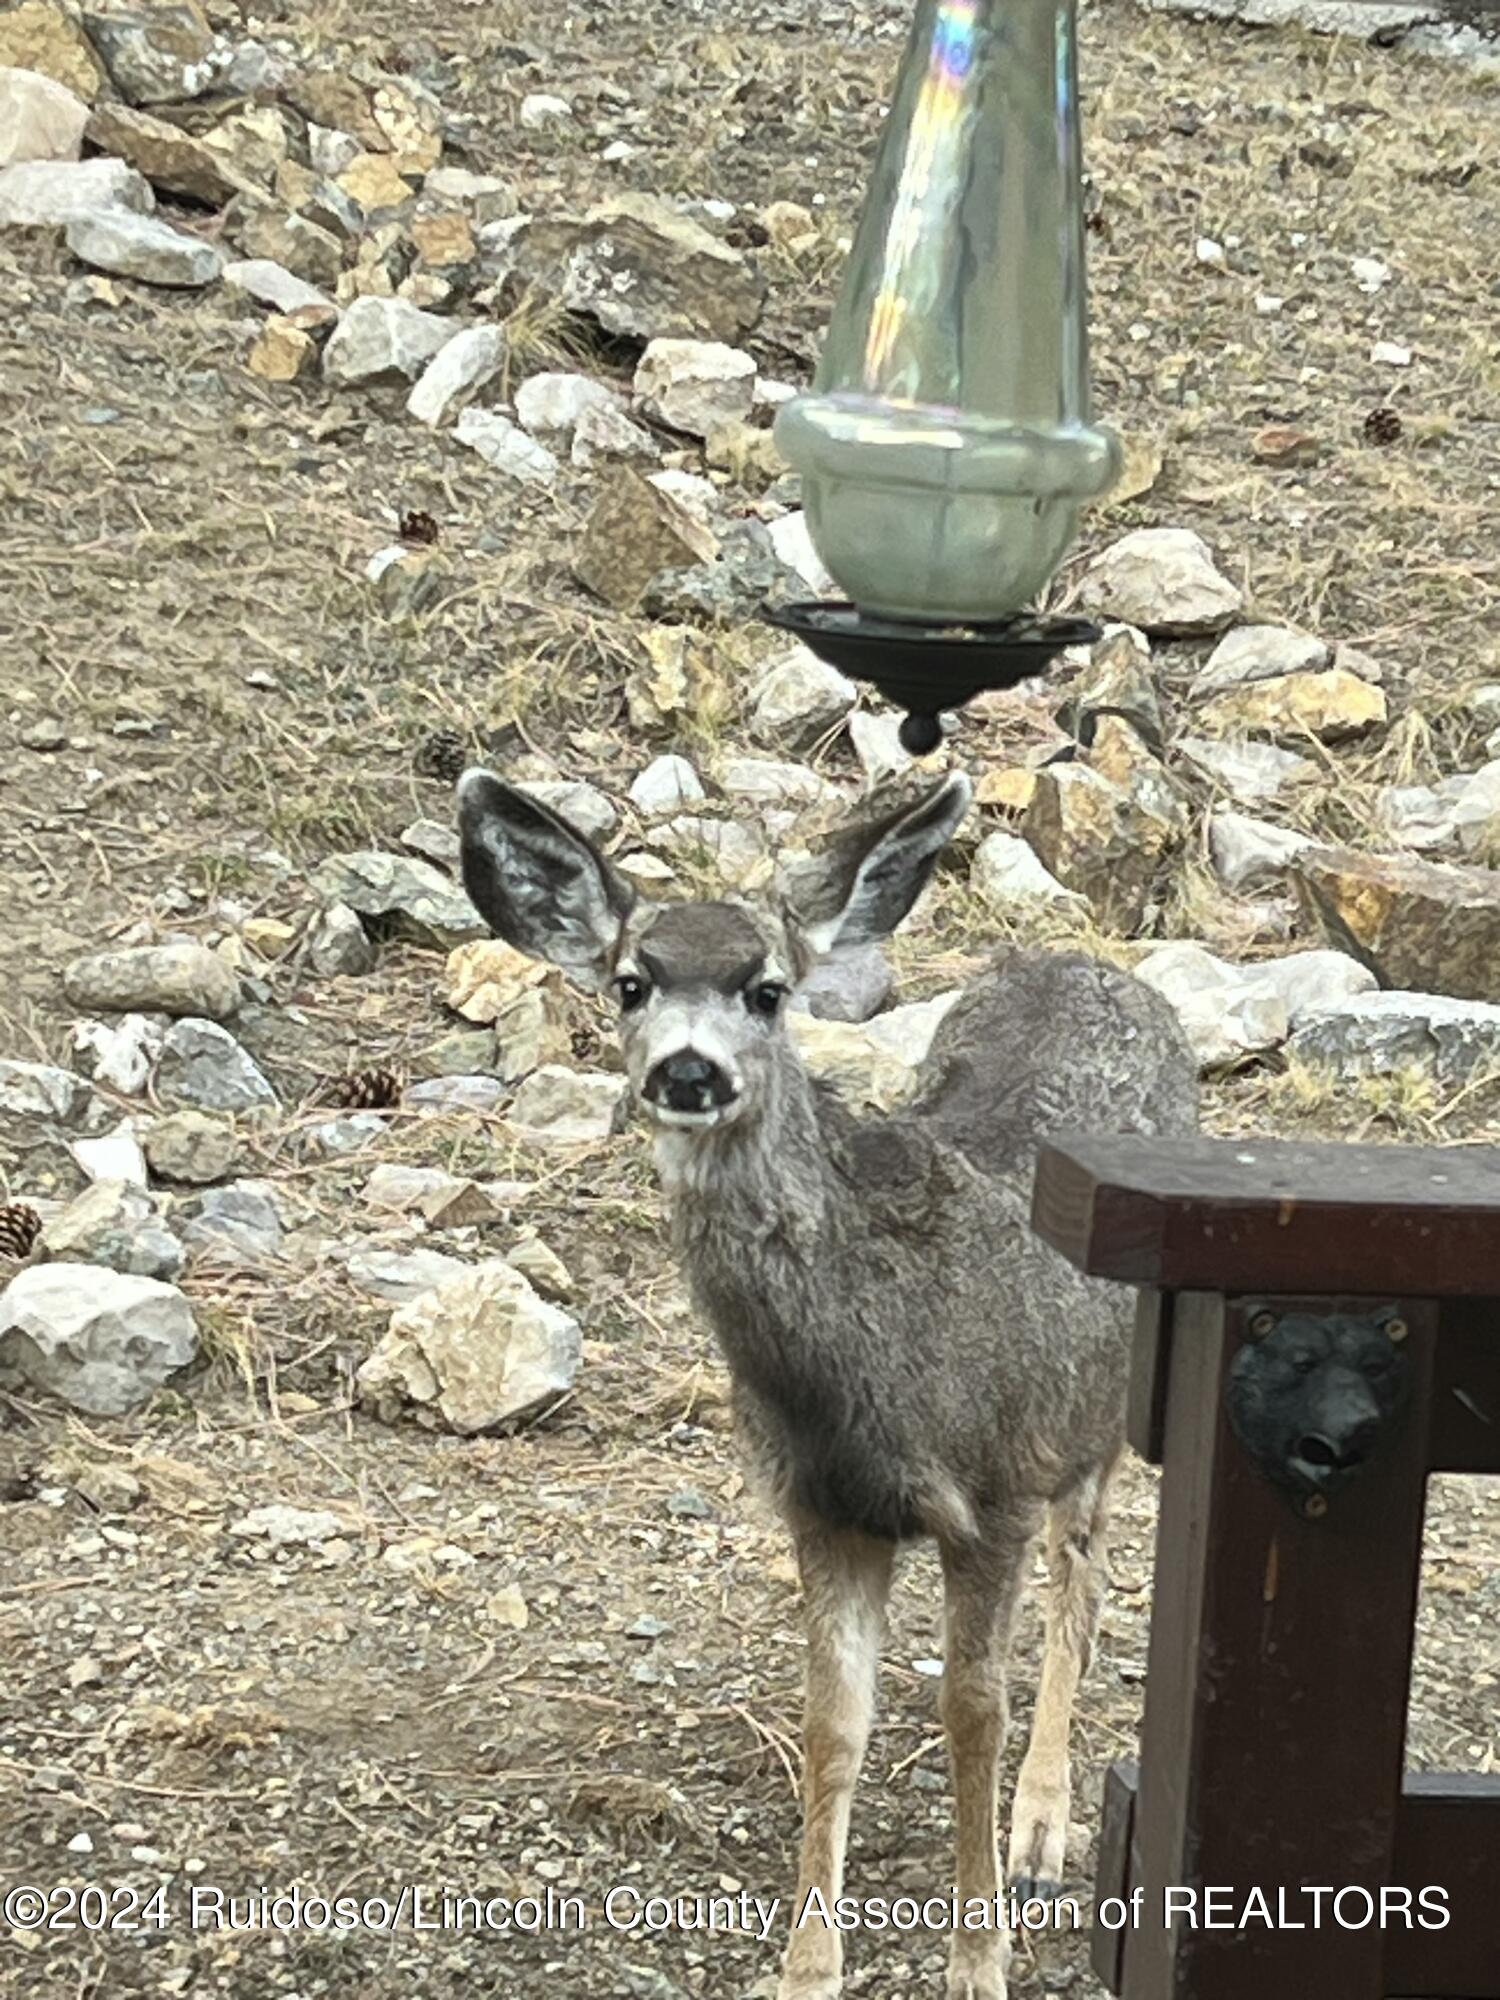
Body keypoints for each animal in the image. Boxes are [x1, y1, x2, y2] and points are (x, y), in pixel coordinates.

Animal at [456, 772, 1200, 2000]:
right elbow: (832, 1724)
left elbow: (971, 1710)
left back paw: (1043, 1828)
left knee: (1085, 1584)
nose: (688, 1070)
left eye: (766, 990)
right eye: (630, 982)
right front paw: (808, 1965)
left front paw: (979, 1958)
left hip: (1095, 1410)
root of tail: (1098, 966)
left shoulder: (992, 1486)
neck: (860, 1371)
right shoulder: (821, 1505)